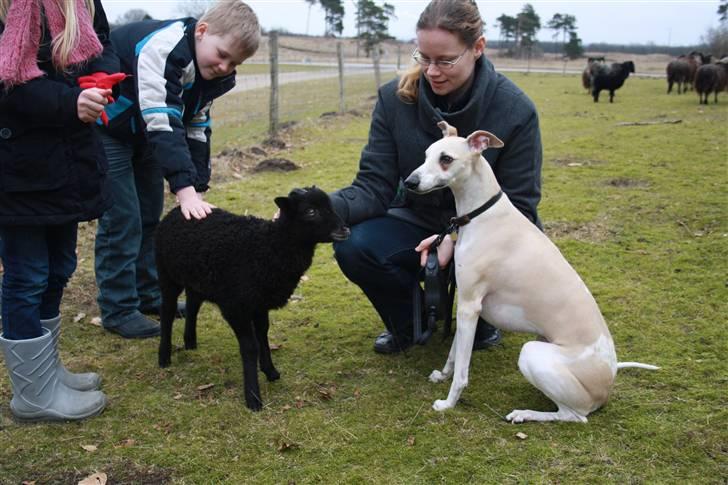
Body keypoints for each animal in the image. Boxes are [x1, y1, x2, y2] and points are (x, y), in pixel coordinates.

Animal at [156, 187, 352, 410]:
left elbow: (263, 335)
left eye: (330, 205)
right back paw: (164, 357)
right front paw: (253, 397)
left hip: (195, 278)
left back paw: (190, 342)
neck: (269, 247)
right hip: (167, 274)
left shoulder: (259, 303)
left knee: (193, 304)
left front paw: (270, 371)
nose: (345, 229)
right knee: (167, 311)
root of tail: (176, 211)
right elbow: (250, 347)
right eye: (311, 211)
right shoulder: (235, 307)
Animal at [404, 122, 660, 424]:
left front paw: (448, 403)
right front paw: (442, 375)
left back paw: (524, 413)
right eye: (426, 154)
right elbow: (454, 354)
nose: (409, 182)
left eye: (446, 159)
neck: (482, 213)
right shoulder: (468, 307)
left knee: (574, 416)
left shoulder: (469, 305)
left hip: (533, 355)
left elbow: (462, 372)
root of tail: (609, 377)